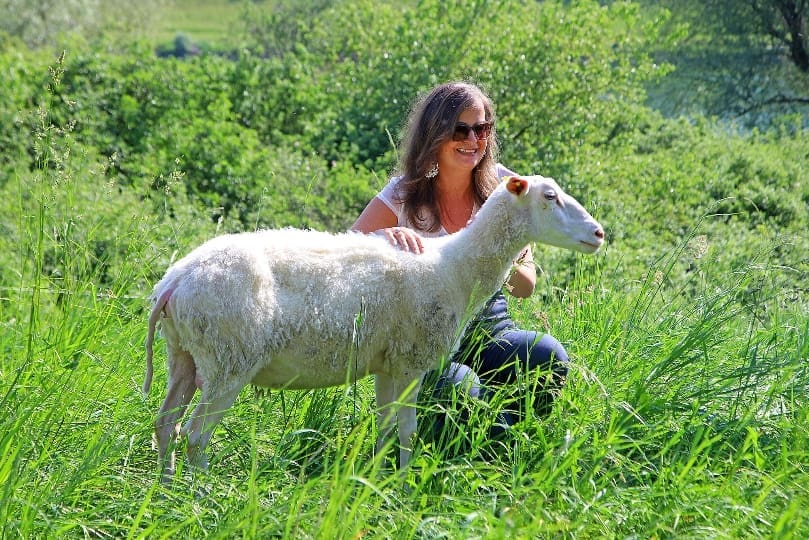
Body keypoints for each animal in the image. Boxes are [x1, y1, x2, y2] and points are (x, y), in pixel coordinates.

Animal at [143, 175, 604, 480]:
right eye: (550, 197)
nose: (599, 233)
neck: (454, 268)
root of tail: (175, 282)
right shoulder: (411, 362)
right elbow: (407, 431)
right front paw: (404, 485)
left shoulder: (388, 363)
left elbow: (385, 429)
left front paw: (376, 482)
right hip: (229, 358)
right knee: (196, 435)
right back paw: (202, 493)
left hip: (184, 354)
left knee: (166, 425)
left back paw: (168, 489)